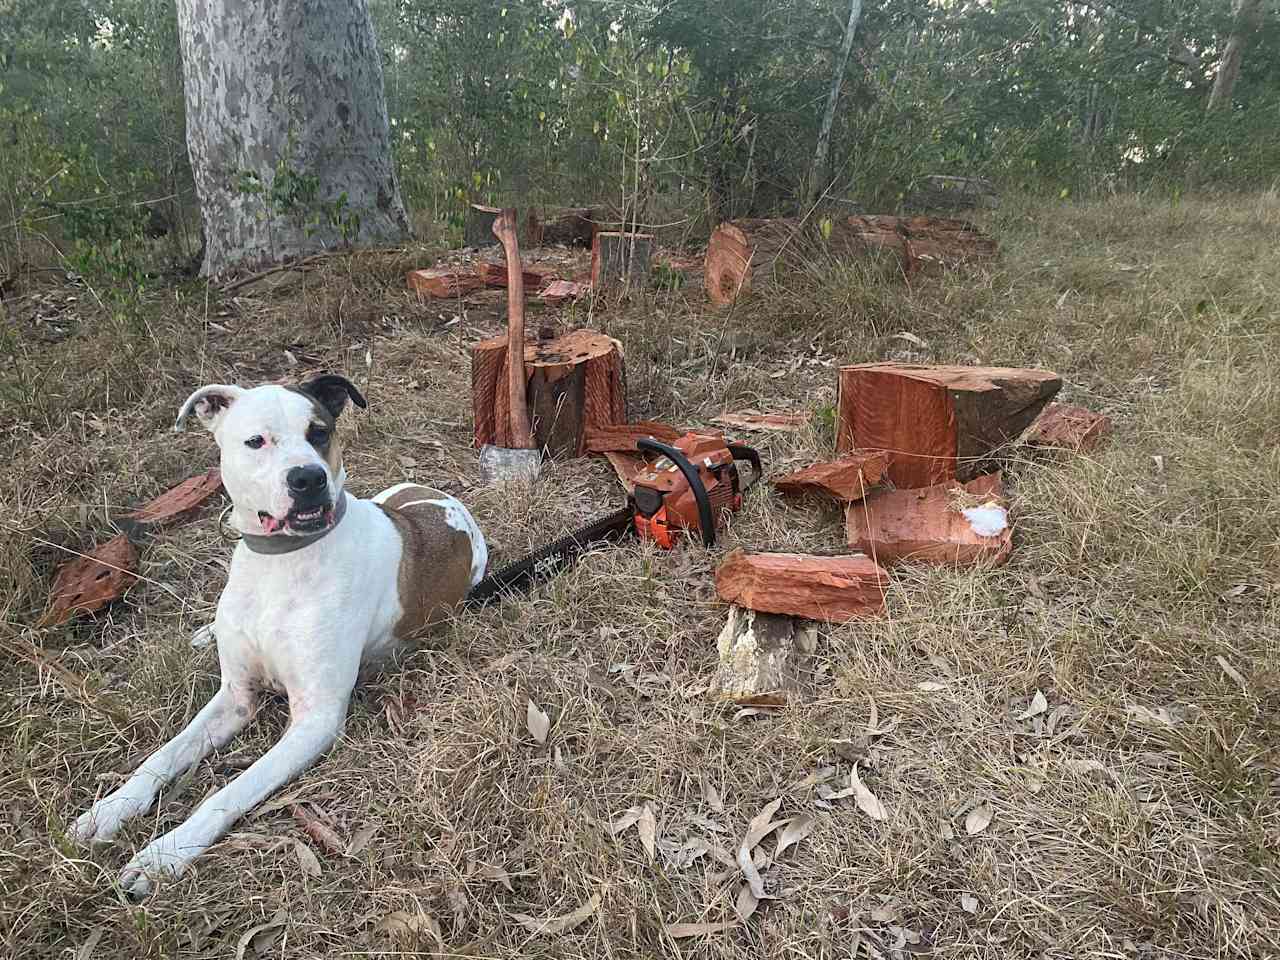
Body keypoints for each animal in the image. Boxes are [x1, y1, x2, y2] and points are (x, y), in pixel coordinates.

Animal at [72, 373, 486, 896]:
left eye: (319, 432)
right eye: (256, 441)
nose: (308, 479)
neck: (281, 562)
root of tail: (439, 498)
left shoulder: (315, 721)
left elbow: (230, 790)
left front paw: (165, 854)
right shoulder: (235, 696)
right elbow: (161, 757)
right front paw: (109, 810)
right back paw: (205, 632)